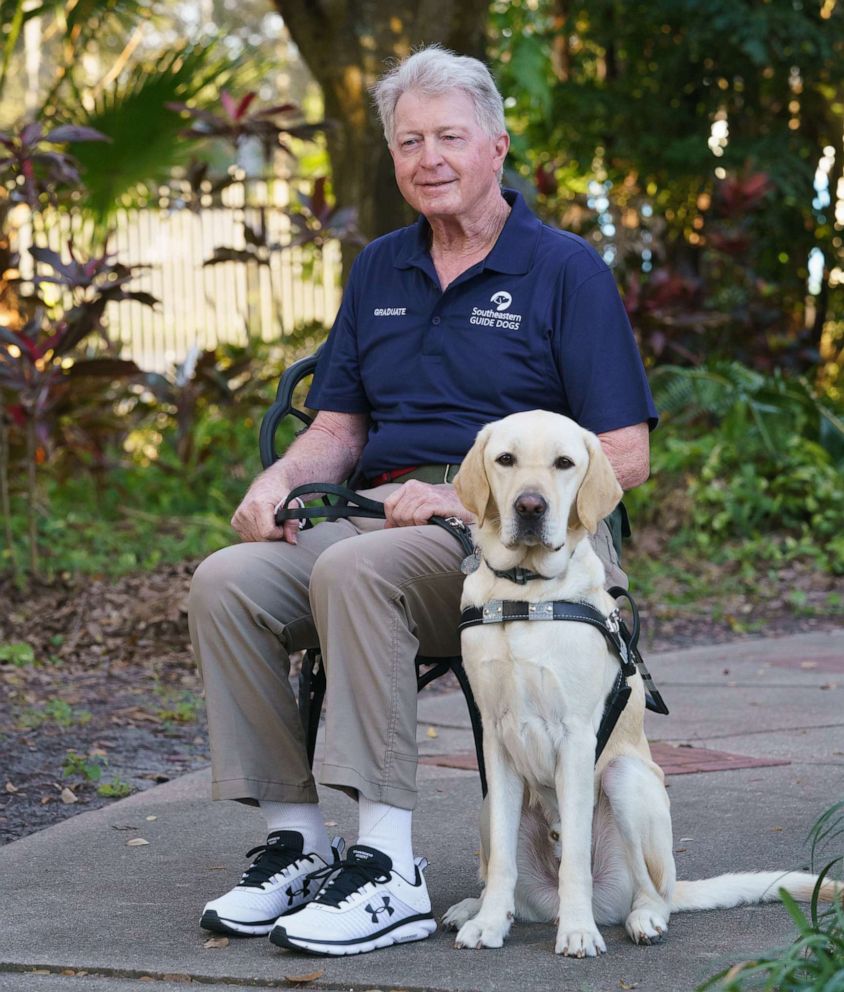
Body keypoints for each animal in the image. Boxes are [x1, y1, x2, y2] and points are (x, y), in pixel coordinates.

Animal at [446, 406, 836, 956]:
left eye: (564, 463)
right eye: (506, 460)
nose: (529, 506)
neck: (527, 593)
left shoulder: (576, 735)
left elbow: (575, 864)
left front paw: (578, 932)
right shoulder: (496, 739)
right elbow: (501, 859)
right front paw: (487, 924)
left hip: (626, 779)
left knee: (650, 891)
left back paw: (639, 919)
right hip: (489, 805)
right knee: (511, 881)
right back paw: (478, 909)